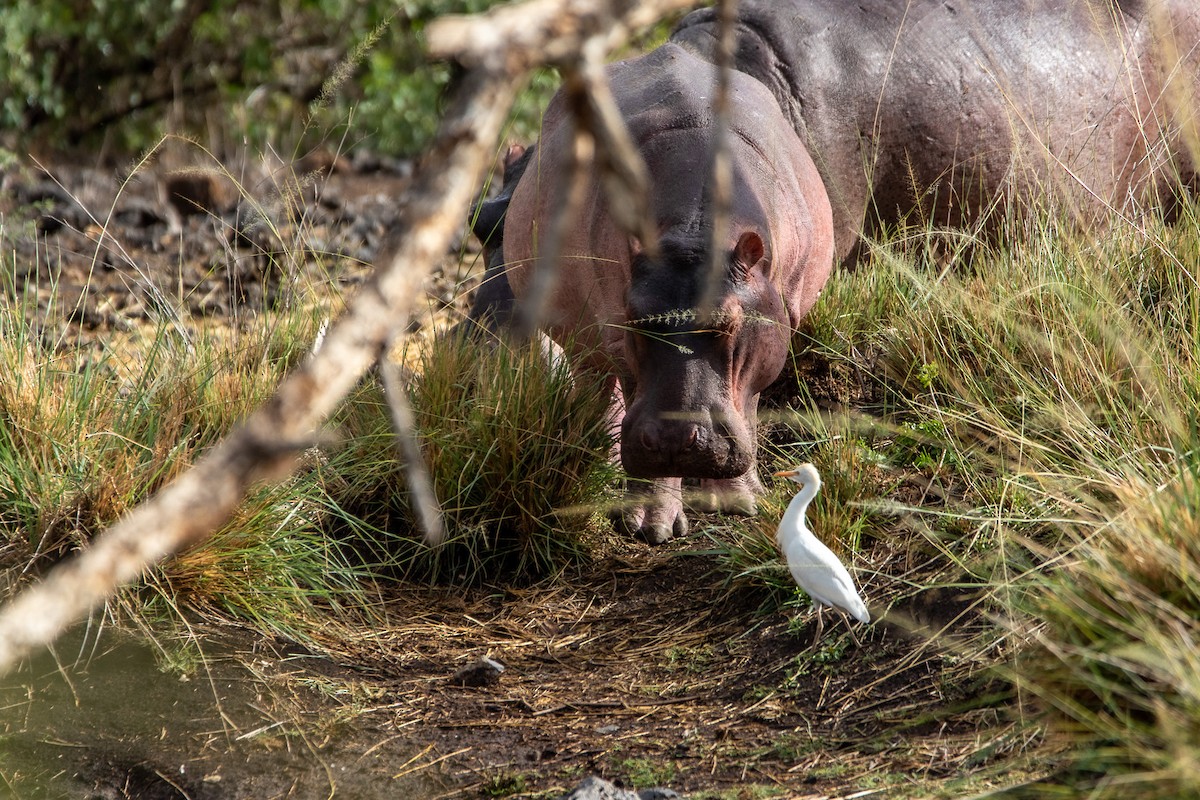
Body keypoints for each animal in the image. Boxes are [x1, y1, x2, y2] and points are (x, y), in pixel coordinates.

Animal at [496, 43, 835, 544]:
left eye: (729, 323)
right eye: (634, 320)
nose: (675, 441)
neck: (692, 234)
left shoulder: (770, 330)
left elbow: (747, 403)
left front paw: (739, 503)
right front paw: (649, 526)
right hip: (583, 342)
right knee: (597, 390)